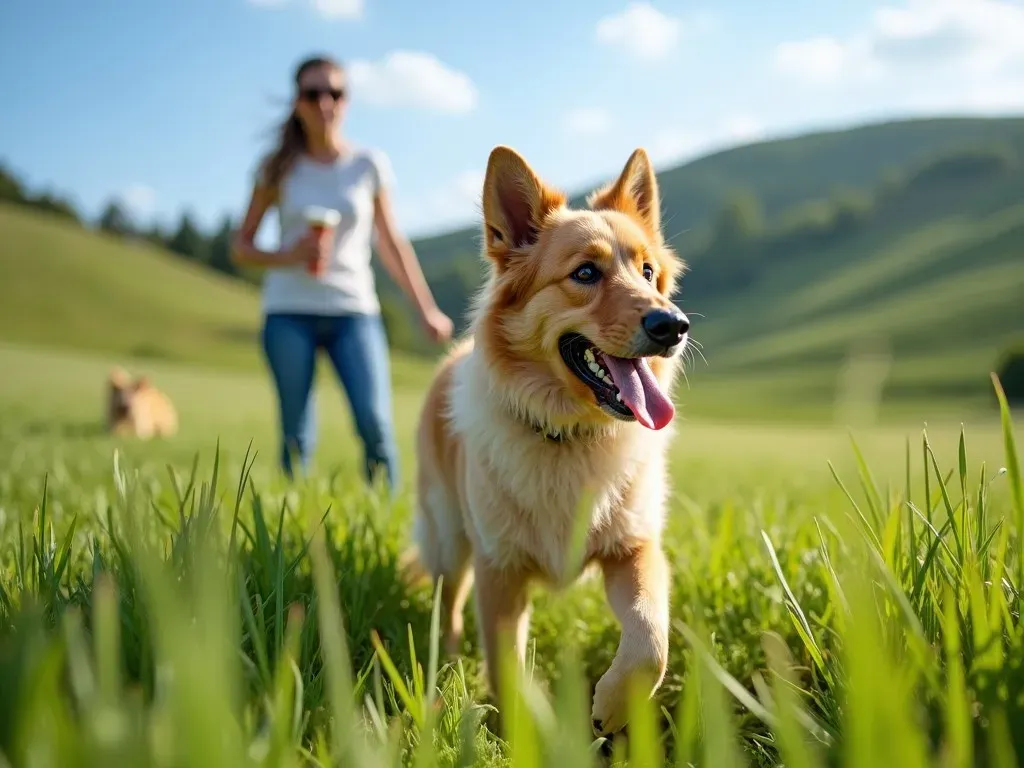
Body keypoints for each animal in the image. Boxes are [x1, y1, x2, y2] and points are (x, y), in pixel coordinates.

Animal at [403, 145, 692, 741]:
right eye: (585, 273)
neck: (569, 435)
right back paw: (446, 669)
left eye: (648, 272)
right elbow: (507, 667)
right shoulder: (500, 571)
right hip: (448, 539)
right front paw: (527, 733)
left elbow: (650, 640)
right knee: (449, 608)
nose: (674, 325)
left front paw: (612, 705)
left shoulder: (634, 549)